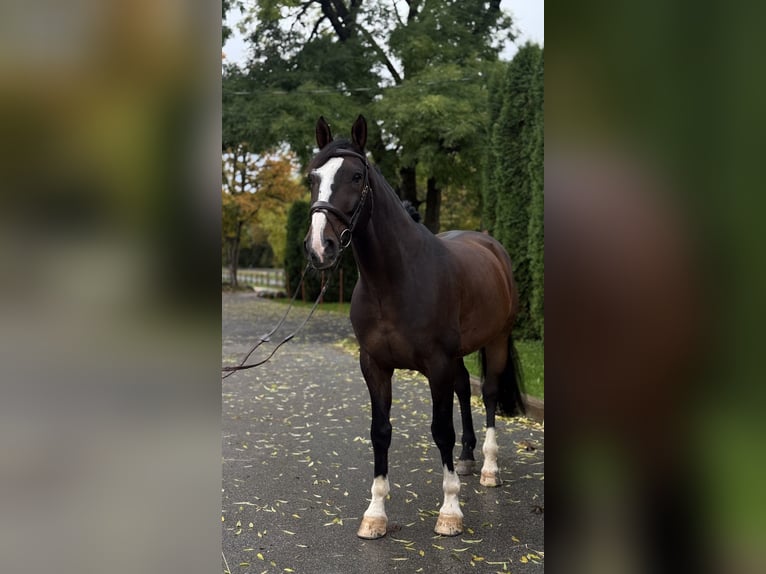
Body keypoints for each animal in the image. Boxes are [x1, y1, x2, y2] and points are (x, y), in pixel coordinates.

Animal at [304, 115, 525, 539]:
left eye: (356, 175)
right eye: (313, 177)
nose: (320, 247)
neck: (395, 280)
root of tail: (491, 246)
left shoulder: (436, 364)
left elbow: (441, 431)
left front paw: (450, 511)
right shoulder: (375, 365)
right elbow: (380, 431)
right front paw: (375, 514)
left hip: (497, 340)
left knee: (488, 394)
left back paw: (489, 468)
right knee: (464, 389)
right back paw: (468, 458)